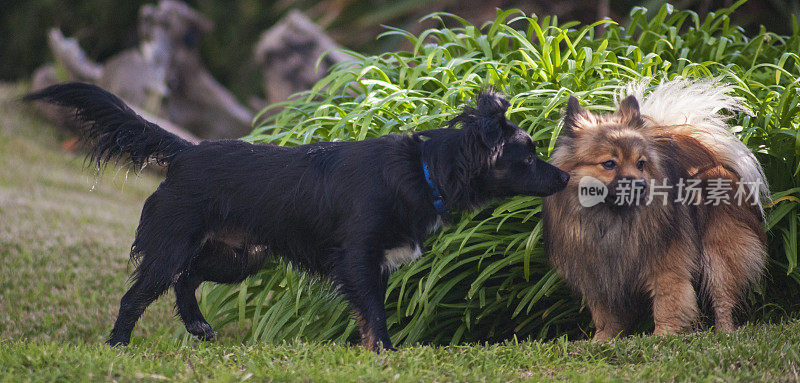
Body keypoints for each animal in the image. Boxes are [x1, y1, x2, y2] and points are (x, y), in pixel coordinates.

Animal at [25, 83, 572, 352]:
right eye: (528, 156)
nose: (567, 177)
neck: (424, 170)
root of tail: (186, 152)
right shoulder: (356, 259)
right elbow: (375, 314)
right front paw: (387, 354)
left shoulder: (368, 265)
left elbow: (368, 315)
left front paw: (373, 354)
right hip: (173, 244)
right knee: (138, 295)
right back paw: (117, 346)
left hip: (240, 255)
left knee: (187, 280)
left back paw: (198, 326)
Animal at [544, 79, 768, 340]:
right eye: (609, 163)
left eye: (640, 164)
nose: (641, 185)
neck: (613, 217)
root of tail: (713, 158)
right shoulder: (599, 272)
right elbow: (605, 313)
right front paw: (603, 339)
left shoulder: (667, 266)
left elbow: (668, 302)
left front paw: (664, 335)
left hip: (719, 252)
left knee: (723, 297)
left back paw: (724, 331)